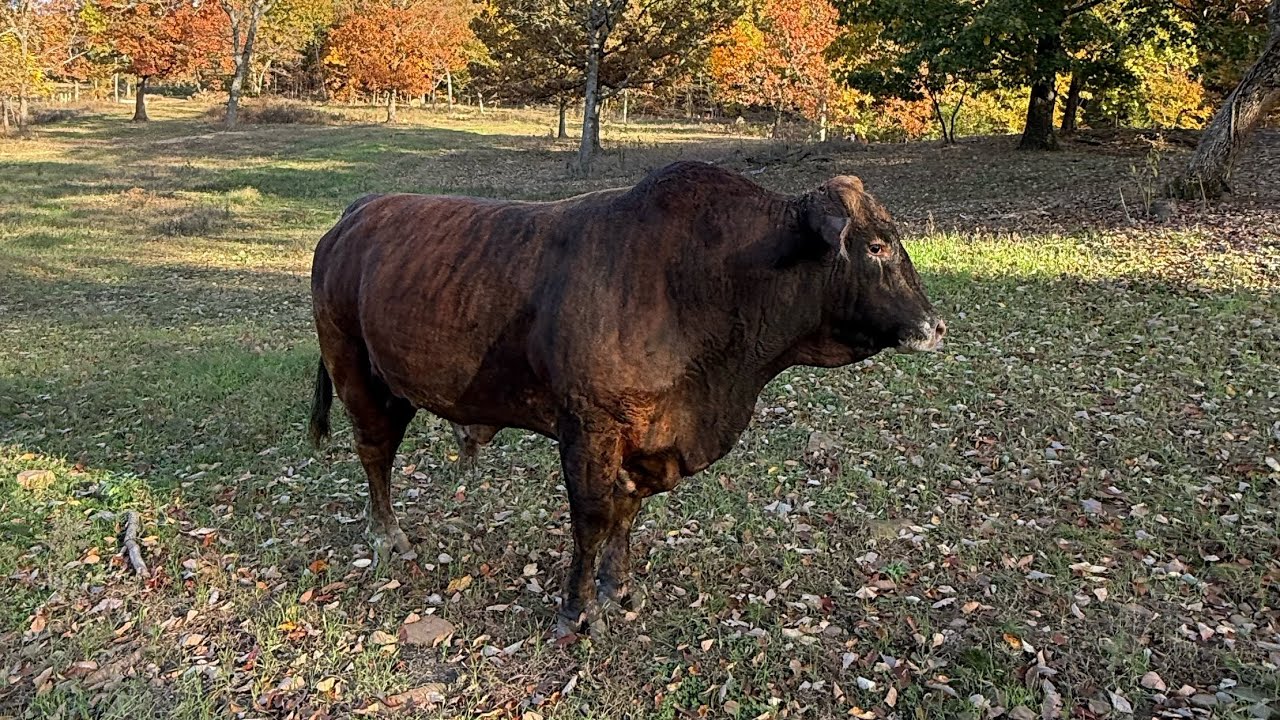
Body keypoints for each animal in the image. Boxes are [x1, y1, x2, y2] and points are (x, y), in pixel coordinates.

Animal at [308, 161, 945, 636]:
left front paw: (618, 587)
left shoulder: (648, 440)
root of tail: (360, 210)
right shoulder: (590, 429)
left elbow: (626, 511)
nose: (935, 326)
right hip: (356, 372)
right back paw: (387, 536)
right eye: (877, 247)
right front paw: (576, 609)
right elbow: (591, 517)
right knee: (375, 453)